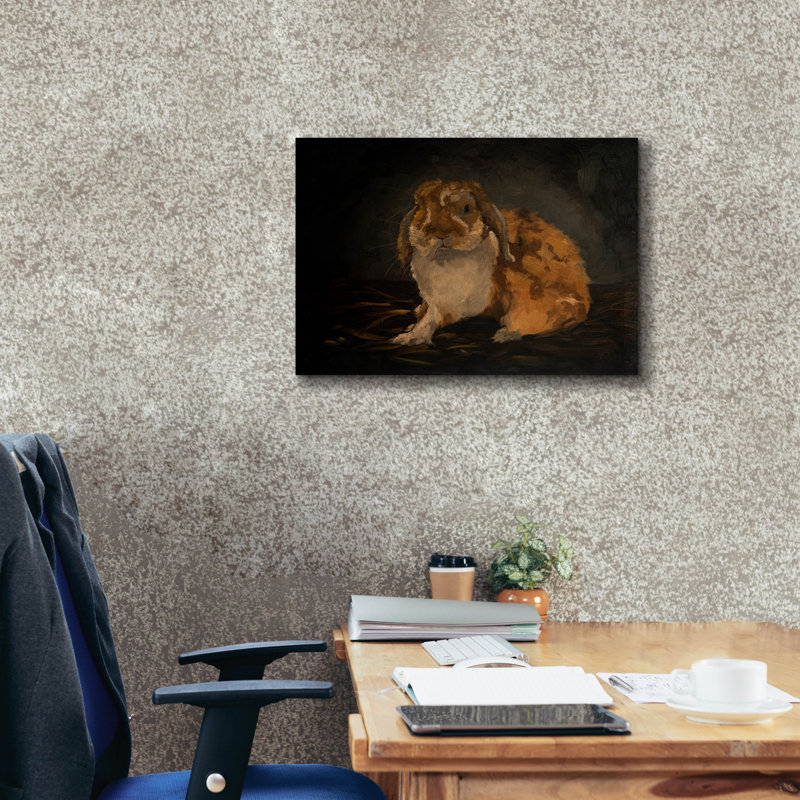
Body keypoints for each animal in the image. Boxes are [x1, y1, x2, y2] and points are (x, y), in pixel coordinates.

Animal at [392, 180, 591, 346]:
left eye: (467, 208)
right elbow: (428, 318)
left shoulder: (526, 291)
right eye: (420, 207)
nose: (439, 233)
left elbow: (524, 312)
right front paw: (409, 337)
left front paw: (506, 334)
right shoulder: (440, 303)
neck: (448, 259)